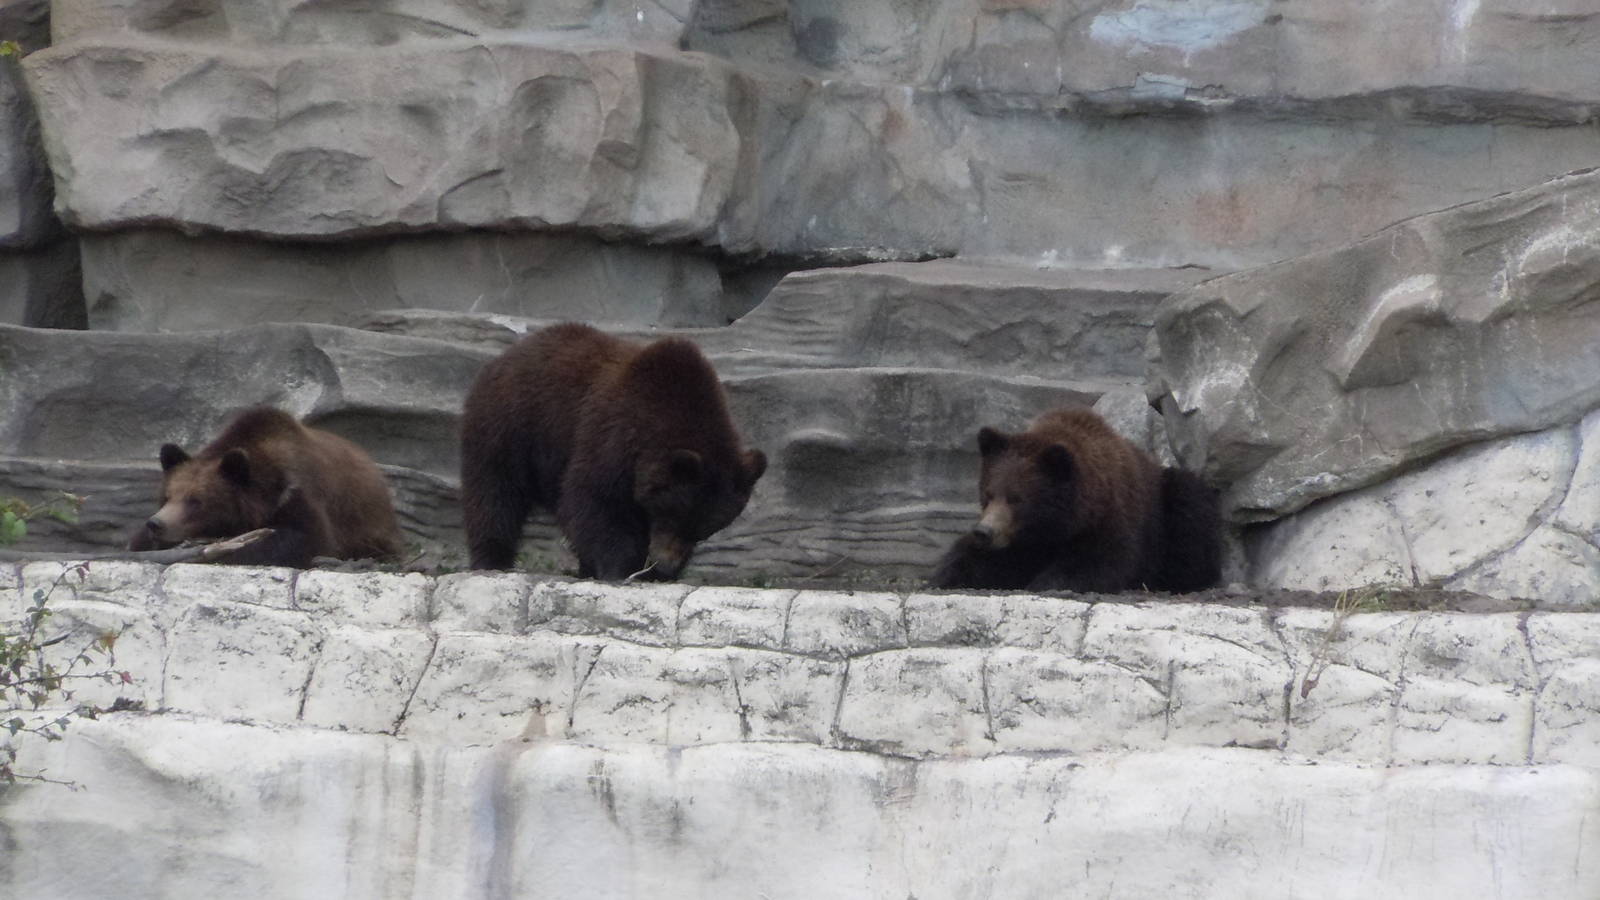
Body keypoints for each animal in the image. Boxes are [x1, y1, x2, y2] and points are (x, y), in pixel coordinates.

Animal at [459, 322, 766, 580]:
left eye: (703, 530)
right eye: (673, 514)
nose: (665, 566)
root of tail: (503, 357)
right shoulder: (612, 437)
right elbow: (599, 504)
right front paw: (622, 568)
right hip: (510, 428)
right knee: (495, 494)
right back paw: (492, 560)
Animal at [929, 406, 1221, 593]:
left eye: (1016, 498)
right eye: (988, 494)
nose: (984, 531)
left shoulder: (1112, 519)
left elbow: (1099, 562)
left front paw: (1047, 583)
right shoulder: (1019, 542)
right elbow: (972, 557)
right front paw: (947, 574)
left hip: (1167, 505)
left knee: (1189, 509)